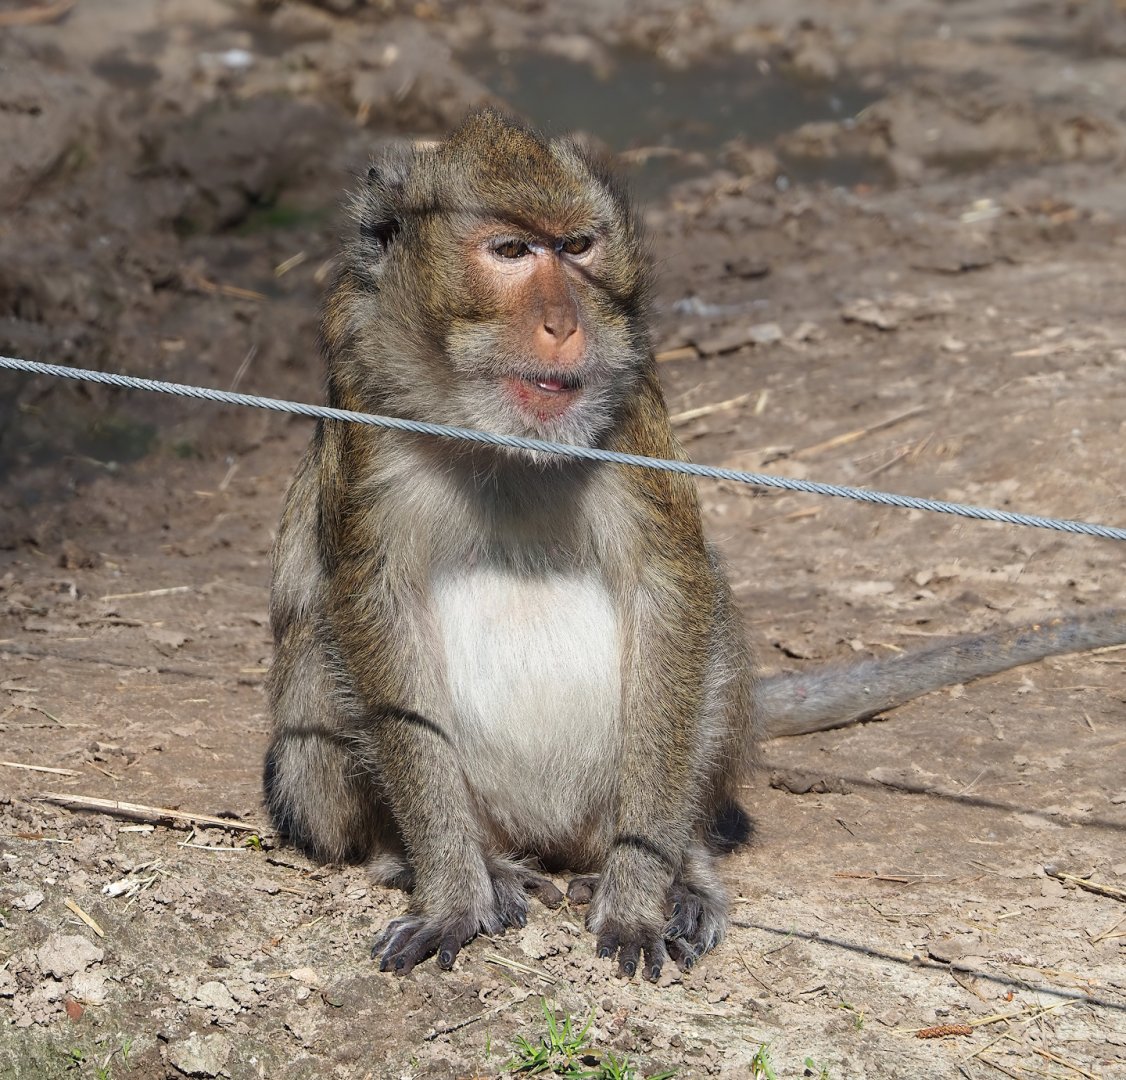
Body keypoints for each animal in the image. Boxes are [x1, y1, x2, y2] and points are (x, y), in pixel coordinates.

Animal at [263, 108, 1126, 982]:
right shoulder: (365, 401)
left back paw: (681, 872)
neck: (500, 440)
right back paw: (455, 861)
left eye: (576, 247)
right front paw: (450, 893)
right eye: (509, 251)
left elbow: (672, 591)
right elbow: (372, 604)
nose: (564, 323)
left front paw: (642, 896)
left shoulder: (631, 400)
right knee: (320, 652)